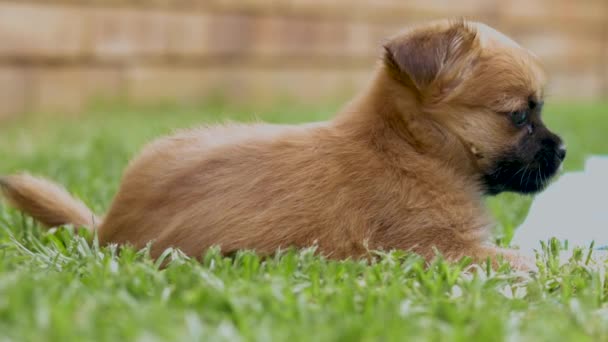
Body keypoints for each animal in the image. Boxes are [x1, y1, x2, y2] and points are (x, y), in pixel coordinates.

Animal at [0, 20, 564, 270]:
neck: (409, 147)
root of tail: (107, 229)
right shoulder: (436, 248)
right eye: (520, 115)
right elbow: (522, 261)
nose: (561, 152)